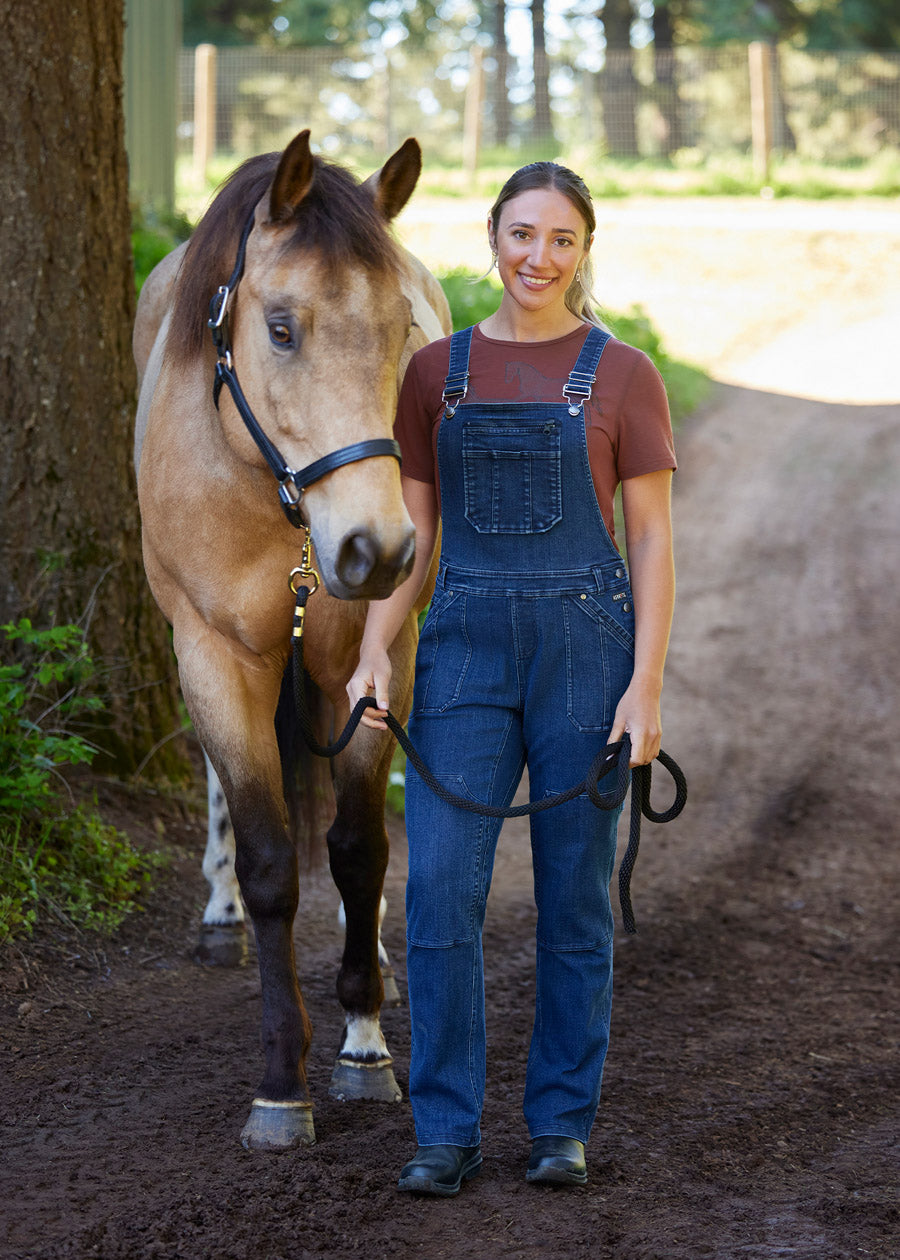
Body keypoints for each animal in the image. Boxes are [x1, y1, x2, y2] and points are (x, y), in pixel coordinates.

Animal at [133, 129, 450, 1150]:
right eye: (280, 328)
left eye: (402, 331)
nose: (377, 548)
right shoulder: (212, 653)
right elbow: (274, 862)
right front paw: (281, 1084)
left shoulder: (375, 656)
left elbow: (358, 848)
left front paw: (365, 1043)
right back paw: (220, 915)